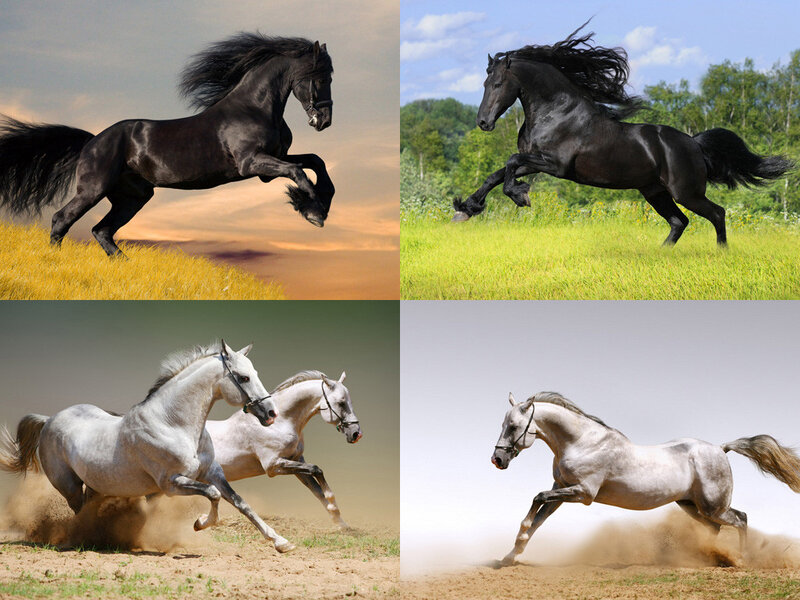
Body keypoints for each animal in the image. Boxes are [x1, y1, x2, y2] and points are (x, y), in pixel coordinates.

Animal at [0, 33, 334, 257]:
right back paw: (54, 261)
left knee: (102, 230)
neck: (254, 107)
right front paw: (313, 212)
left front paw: (319, 206)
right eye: (320, 77)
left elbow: (315, 162)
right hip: (93, 189)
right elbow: (298, 172)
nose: (324, 121)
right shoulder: (251, 163)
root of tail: (92, 141)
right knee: (62, 220)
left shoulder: (270, 163)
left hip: (133, 197)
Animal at [0, 340, 298, 553]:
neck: (173, 424)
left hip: (96, 485)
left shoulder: (213, 473)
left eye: (254, 373)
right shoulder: (171, 484)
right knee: (78, 511)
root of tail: (49, 419)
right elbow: (213, 496)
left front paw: (281, 542)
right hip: (69, 485)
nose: (271, 413)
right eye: (243, 377)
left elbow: (240, 503)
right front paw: (200, 523)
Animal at [206, 370, 362, 529]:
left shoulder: (296, 461)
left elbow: (317, 490)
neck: (279, 423)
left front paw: (341, 523)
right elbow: (316, 469)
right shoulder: (273, 466)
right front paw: (332, 505)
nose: (356, 434)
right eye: (341, 403)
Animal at [453, 23, 794, 247]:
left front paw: (520, 196)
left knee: (717, 214)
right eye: (485, 84)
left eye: (498, 84)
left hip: (686, 192)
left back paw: (721, 253)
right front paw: (466, 209)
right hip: (655, 192)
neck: (556, 112)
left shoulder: (556, 165)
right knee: (679, 222)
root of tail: (694, 143)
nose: (483, 122)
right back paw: (660, 255)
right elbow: (497, 173)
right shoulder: (536, 160)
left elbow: (510, 162)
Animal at [491, 391, 800, 565]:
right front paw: (510, 556)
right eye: (503, 424)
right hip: (691, 505)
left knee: (741, 519)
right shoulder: (563, 489)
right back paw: (707, 557)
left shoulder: (583, 493)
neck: (582, 442)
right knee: (715, 529)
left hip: (714, 506)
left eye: (514, 426)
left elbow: (537, 499)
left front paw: (516, 545)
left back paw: (742, 559)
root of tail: (720, 449)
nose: (497, 460)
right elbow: (539, 518)